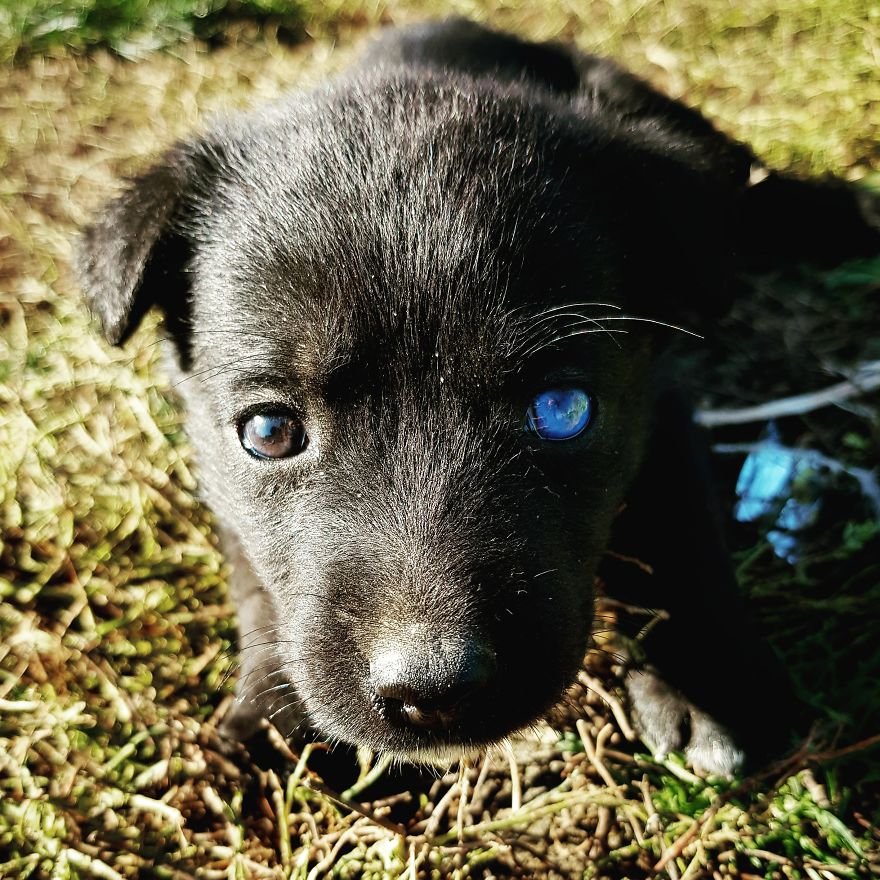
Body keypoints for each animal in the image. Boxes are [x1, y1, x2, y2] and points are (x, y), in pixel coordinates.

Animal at [79, 18, 876, 776]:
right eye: (269, 431)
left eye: (561, 411)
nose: (432, 690)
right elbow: (253, 577)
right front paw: (273, 711)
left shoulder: (659, 404)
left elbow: (683, 534)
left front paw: (716, 688)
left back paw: (840, 212)